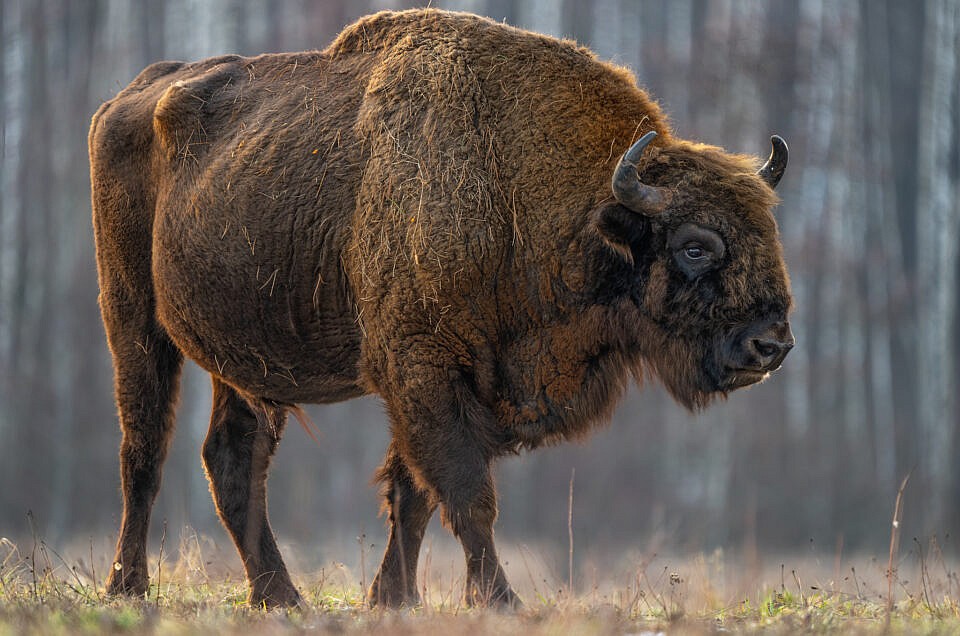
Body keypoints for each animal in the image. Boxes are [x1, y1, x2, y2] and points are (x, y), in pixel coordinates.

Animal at [90, 8, 796, 608]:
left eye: (769, 230)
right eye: (695, 245)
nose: (772, 344)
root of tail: (130, 95)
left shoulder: (453, 383)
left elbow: (414, 494)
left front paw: (393, 599)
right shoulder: (422, 369)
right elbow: (463, 490)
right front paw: (500, 600)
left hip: (245, 363)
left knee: (233, 461)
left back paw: (280, 597)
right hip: (133, 318)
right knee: (143, 449)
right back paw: (128, 587)